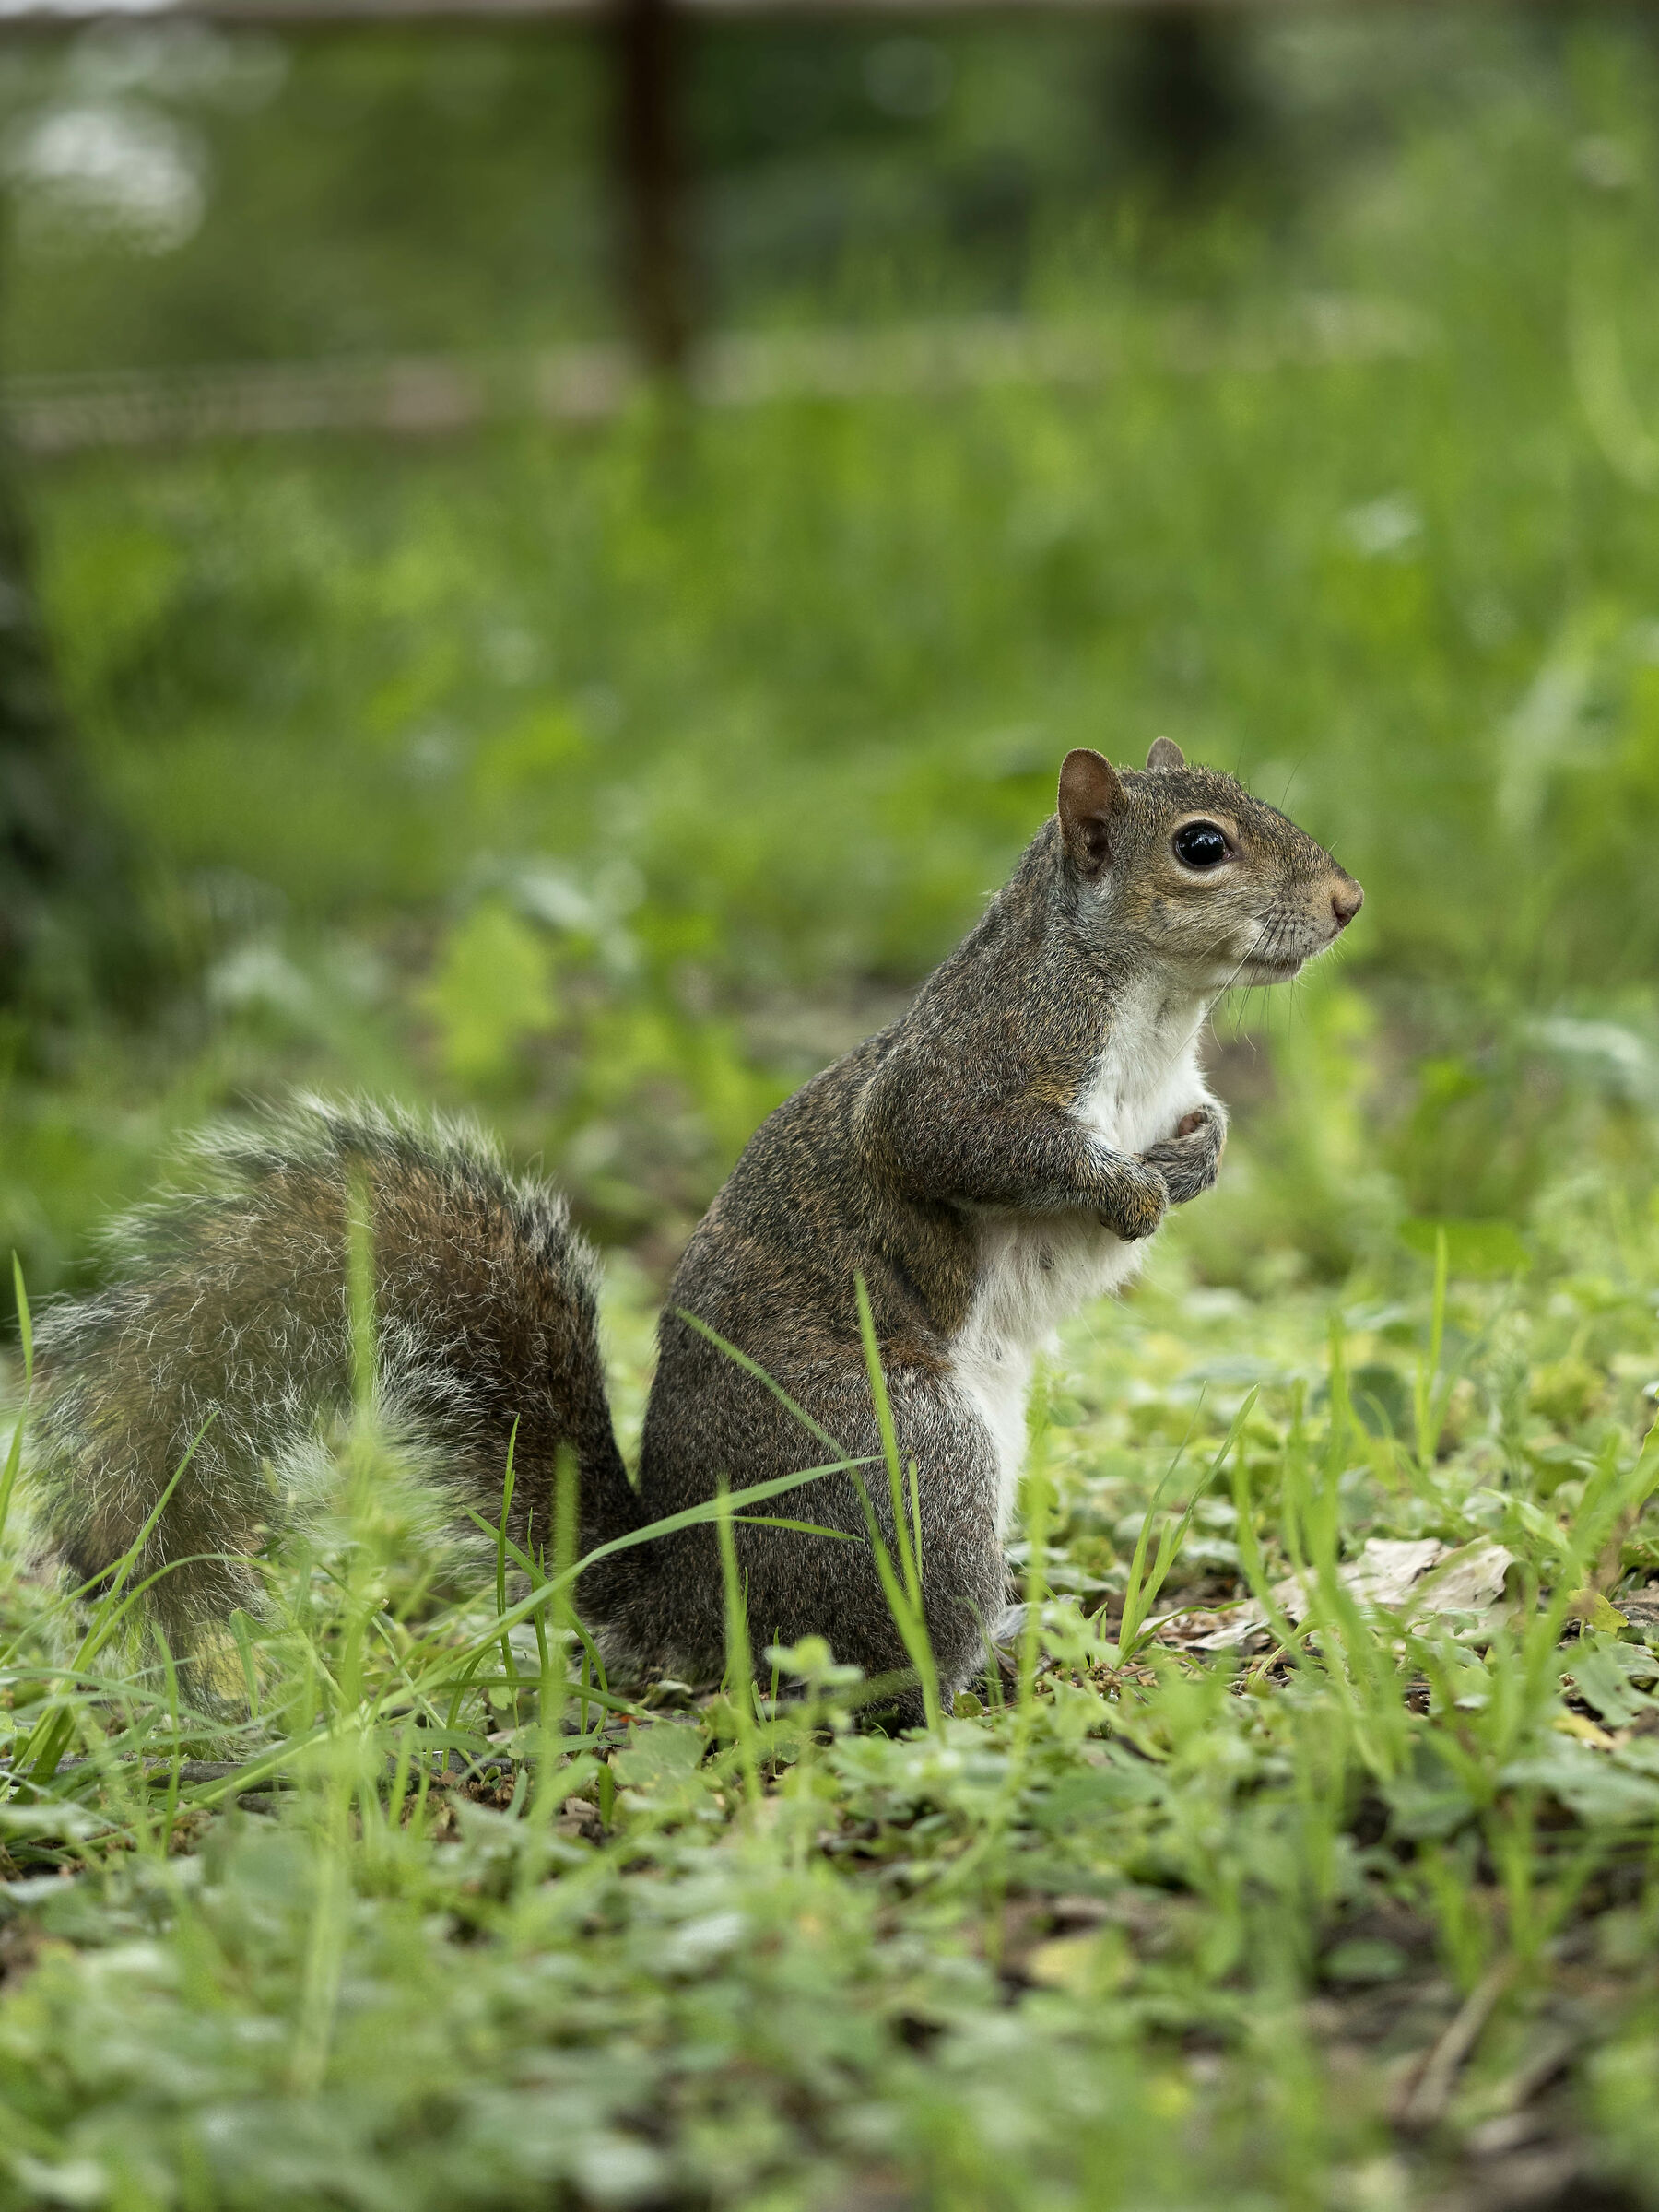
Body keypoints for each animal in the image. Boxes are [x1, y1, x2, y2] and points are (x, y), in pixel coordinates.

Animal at [25, 741, 1360, 1721]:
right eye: (1202, 847)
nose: (1348, 904)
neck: (1154, 1006)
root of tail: (685, 1608)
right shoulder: (973, 1065)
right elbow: (961, 1145)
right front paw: (1124, 1192)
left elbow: (1198, 1128)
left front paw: (1196, 1159)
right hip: (908, 1471)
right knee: (858, 1672)